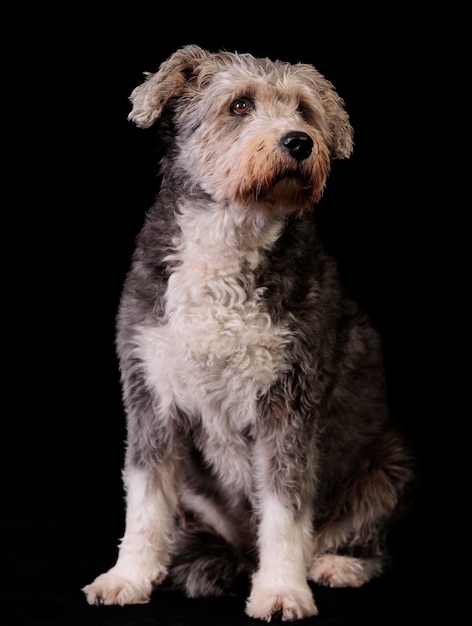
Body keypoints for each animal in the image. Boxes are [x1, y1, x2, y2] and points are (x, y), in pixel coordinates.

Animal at [83, 45, 414, 620]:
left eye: (303, 109)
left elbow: (286, 506)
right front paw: (128, 577)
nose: (299, 142)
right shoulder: (150, 392)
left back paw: (339, 564)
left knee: (367, 540)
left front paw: (281, 589)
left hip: (387, 464)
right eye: (239, 104)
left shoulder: (290, 399)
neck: (230, 235)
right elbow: (146, 500)